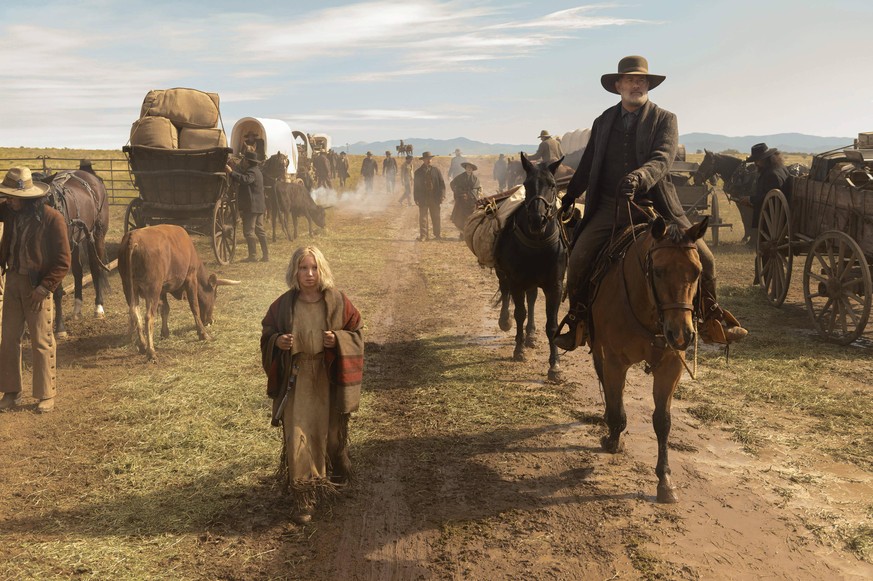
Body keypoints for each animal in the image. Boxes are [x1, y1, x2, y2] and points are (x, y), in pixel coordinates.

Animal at [37, 168, 110, 336]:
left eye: (46, 201)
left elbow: (57, 290)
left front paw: (60, 328)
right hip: (75, 242)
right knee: (78, 271)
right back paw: (77, 310)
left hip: (96, 235)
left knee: (96, 268)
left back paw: (99, 308)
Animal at [494, 152, 568, 382]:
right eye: (527, 185)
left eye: (552, 185)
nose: (537, 219)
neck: (538, 243)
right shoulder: (517, 281)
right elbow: (520, 313)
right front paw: (519, 350)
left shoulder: (555, 285)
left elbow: (552, 325)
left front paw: (555, 366)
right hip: (504, 274)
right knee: (506, 290)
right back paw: (506, 321)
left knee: (533, 298)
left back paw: (531, 334)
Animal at [588, 215, 704, 500]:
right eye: (659, 271)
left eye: (697, 271)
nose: (682, 334)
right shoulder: (616, 361)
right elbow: (616, 406)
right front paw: (612, 439)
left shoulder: (670, 367)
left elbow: (662, 421)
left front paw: (665, 480)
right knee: (601, 375)